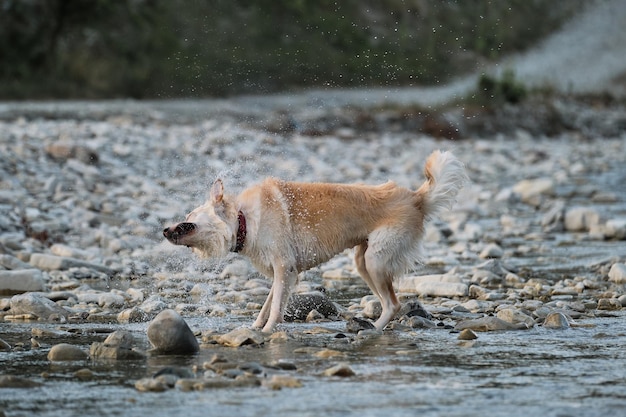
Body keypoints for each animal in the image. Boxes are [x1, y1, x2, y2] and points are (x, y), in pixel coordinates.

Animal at [161, 150, 464, 332]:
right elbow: (268, 305)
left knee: (393, 304)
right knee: (389, 301)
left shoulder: (284, 268)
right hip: (364, 262)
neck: (243, 218)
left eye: (188, 218)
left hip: (375, 261)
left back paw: (373, 330)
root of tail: (416, 198)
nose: (163, 230)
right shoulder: (283, 273)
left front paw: (267, 333)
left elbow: (275, 310)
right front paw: (254, 328)